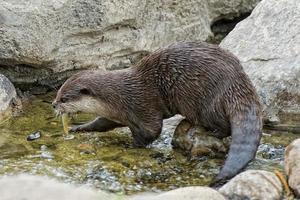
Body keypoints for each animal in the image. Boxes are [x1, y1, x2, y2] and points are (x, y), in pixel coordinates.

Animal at [52, 41, 262, 184]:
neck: (120, 95)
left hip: (203, 101)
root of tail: (237, 80)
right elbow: (101, 123)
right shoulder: (119, 114)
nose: (53, 105)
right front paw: (77, 128)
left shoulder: (143, 105)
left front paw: (131, 146)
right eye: (58, 93)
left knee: (222, 124)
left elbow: (151, 131)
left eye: (64, 98)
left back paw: (211, 131)